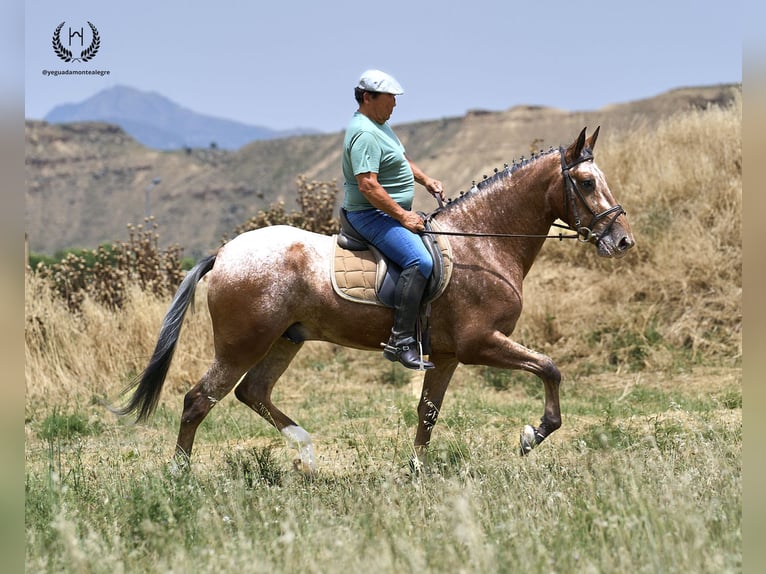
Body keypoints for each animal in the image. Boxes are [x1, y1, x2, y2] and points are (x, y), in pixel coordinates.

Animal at [117, 126, 636, 472]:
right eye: (586, 183)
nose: (623, 240)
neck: (482, 244)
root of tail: (225, 253)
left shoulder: (447, 356)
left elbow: (428, 413)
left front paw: (416, 472)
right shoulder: (479, 343)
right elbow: (549, 368)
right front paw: (532, 435)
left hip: (285, 339)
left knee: (253, 392)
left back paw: (306, 453)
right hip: (242, 343)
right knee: (198, 400)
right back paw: (181, 475)